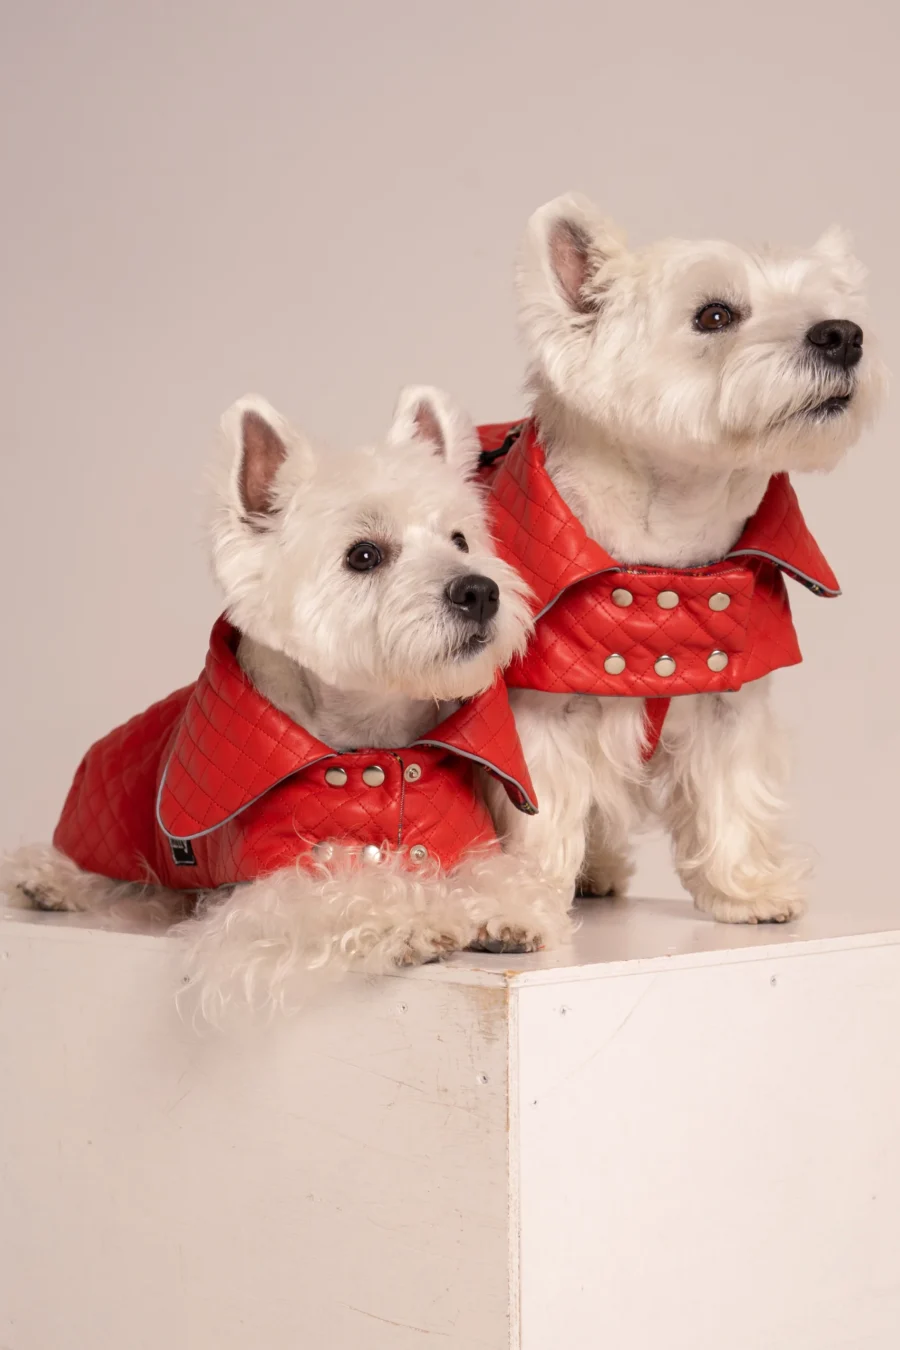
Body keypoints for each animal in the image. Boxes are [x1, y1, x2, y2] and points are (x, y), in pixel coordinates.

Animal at [477, 193, 885, 950]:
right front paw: (518, 909)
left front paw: (747, 891)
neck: (667, 557)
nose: (843, 335)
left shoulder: (730, 698)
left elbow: (731, 792)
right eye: (714, 315)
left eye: (826, 306)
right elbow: (538, 816)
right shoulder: (538, 714)